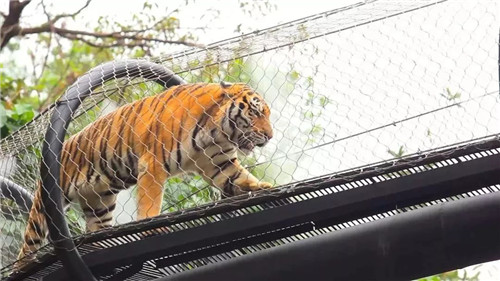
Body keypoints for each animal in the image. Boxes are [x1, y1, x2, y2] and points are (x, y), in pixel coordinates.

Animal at [17, 80, 274, 262]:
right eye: (255, 112)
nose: (270, 136)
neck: (217, 132)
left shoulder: (219, 163)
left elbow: (239, 177)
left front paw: (261, 186)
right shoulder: (153, 164)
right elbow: (151, 201)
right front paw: (152, 226)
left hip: (100, 205)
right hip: (44, 206)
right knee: (28, 247)